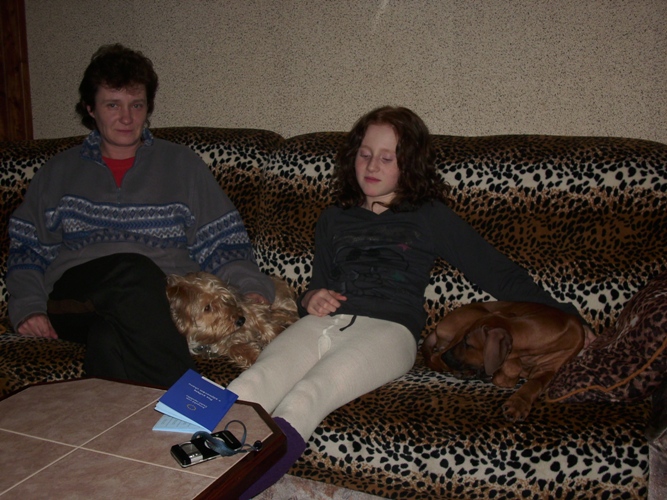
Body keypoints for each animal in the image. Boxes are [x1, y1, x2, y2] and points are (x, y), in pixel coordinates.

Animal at [166, 272, 299, 368]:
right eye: (207, 307)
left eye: (224, 299)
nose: (241, 320)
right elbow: (237, 348)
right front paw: (256, 356)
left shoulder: (250, 306)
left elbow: (264, 324)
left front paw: (277, 337)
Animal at [421, 301, 585, 422]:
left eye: (468, 344)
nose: (447, 357)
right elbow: (513, 367)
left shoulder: (550, 370)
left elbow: (535, 383)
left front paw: (518, 403)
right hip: (474, 317)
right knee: (436, 357)